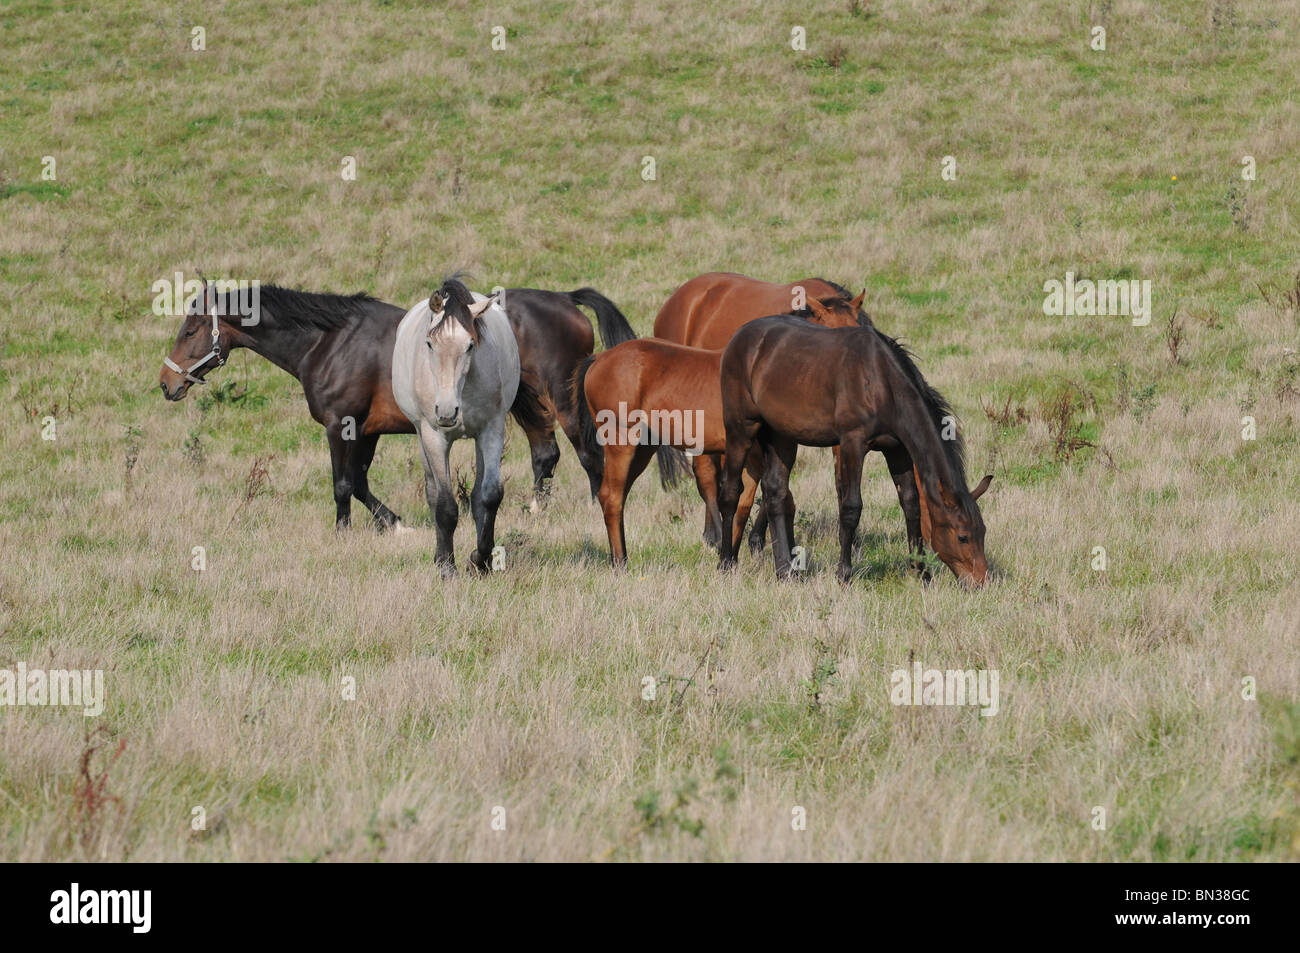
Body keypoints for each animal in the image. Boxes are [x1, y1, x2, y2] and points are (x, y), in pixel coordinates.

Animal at [159, 278, 637, 527]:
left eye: (190, 329)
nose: (166, 383)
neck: (330, 341)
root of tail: (565, 300)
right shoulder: (368, 430)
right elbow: (360, 482)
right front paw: (392, 524)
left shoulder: (341, 425)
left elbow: (343, 484)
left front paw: (347, 531)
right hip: (525, 404)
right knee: (546, 453)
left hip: (561, 399)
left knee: (587, 454)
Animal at [387, 275, 525, 572]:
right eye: (430, 343)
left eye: (470, 345)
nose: (448, 412)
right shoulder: (434, 436)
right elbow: (444, 504)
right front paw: (447, 567)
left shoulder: (491, 430)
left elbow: (489, 495)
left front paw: (480, 560)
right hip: (422, 435)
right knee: (432, 493)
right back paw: (441, 558)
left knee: (477, 495)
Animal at [574, 338, 764, 564]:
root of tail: (599, 358)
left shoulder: (754, 461)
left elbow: (744, 508)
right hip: (621, 443)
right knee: (611, 498)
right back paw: (620, 563)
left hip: (642, 451)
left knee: (617, 498)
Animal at [717, 319, 987, 582]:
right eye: (962, 536)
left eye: (982, 531)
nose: (981, 581)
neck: (880, 380)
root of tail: (739, 337)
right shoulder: (852, 444)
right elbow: (851, 507)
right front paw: (844, 574)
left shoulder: (897, 450)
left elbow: (911, 504)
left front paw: (921, 573)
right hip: (740, 429)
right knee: (731, 491)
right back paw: (726, 563)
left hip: (781, 436)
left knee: (775, 491)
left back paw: (786, 572)